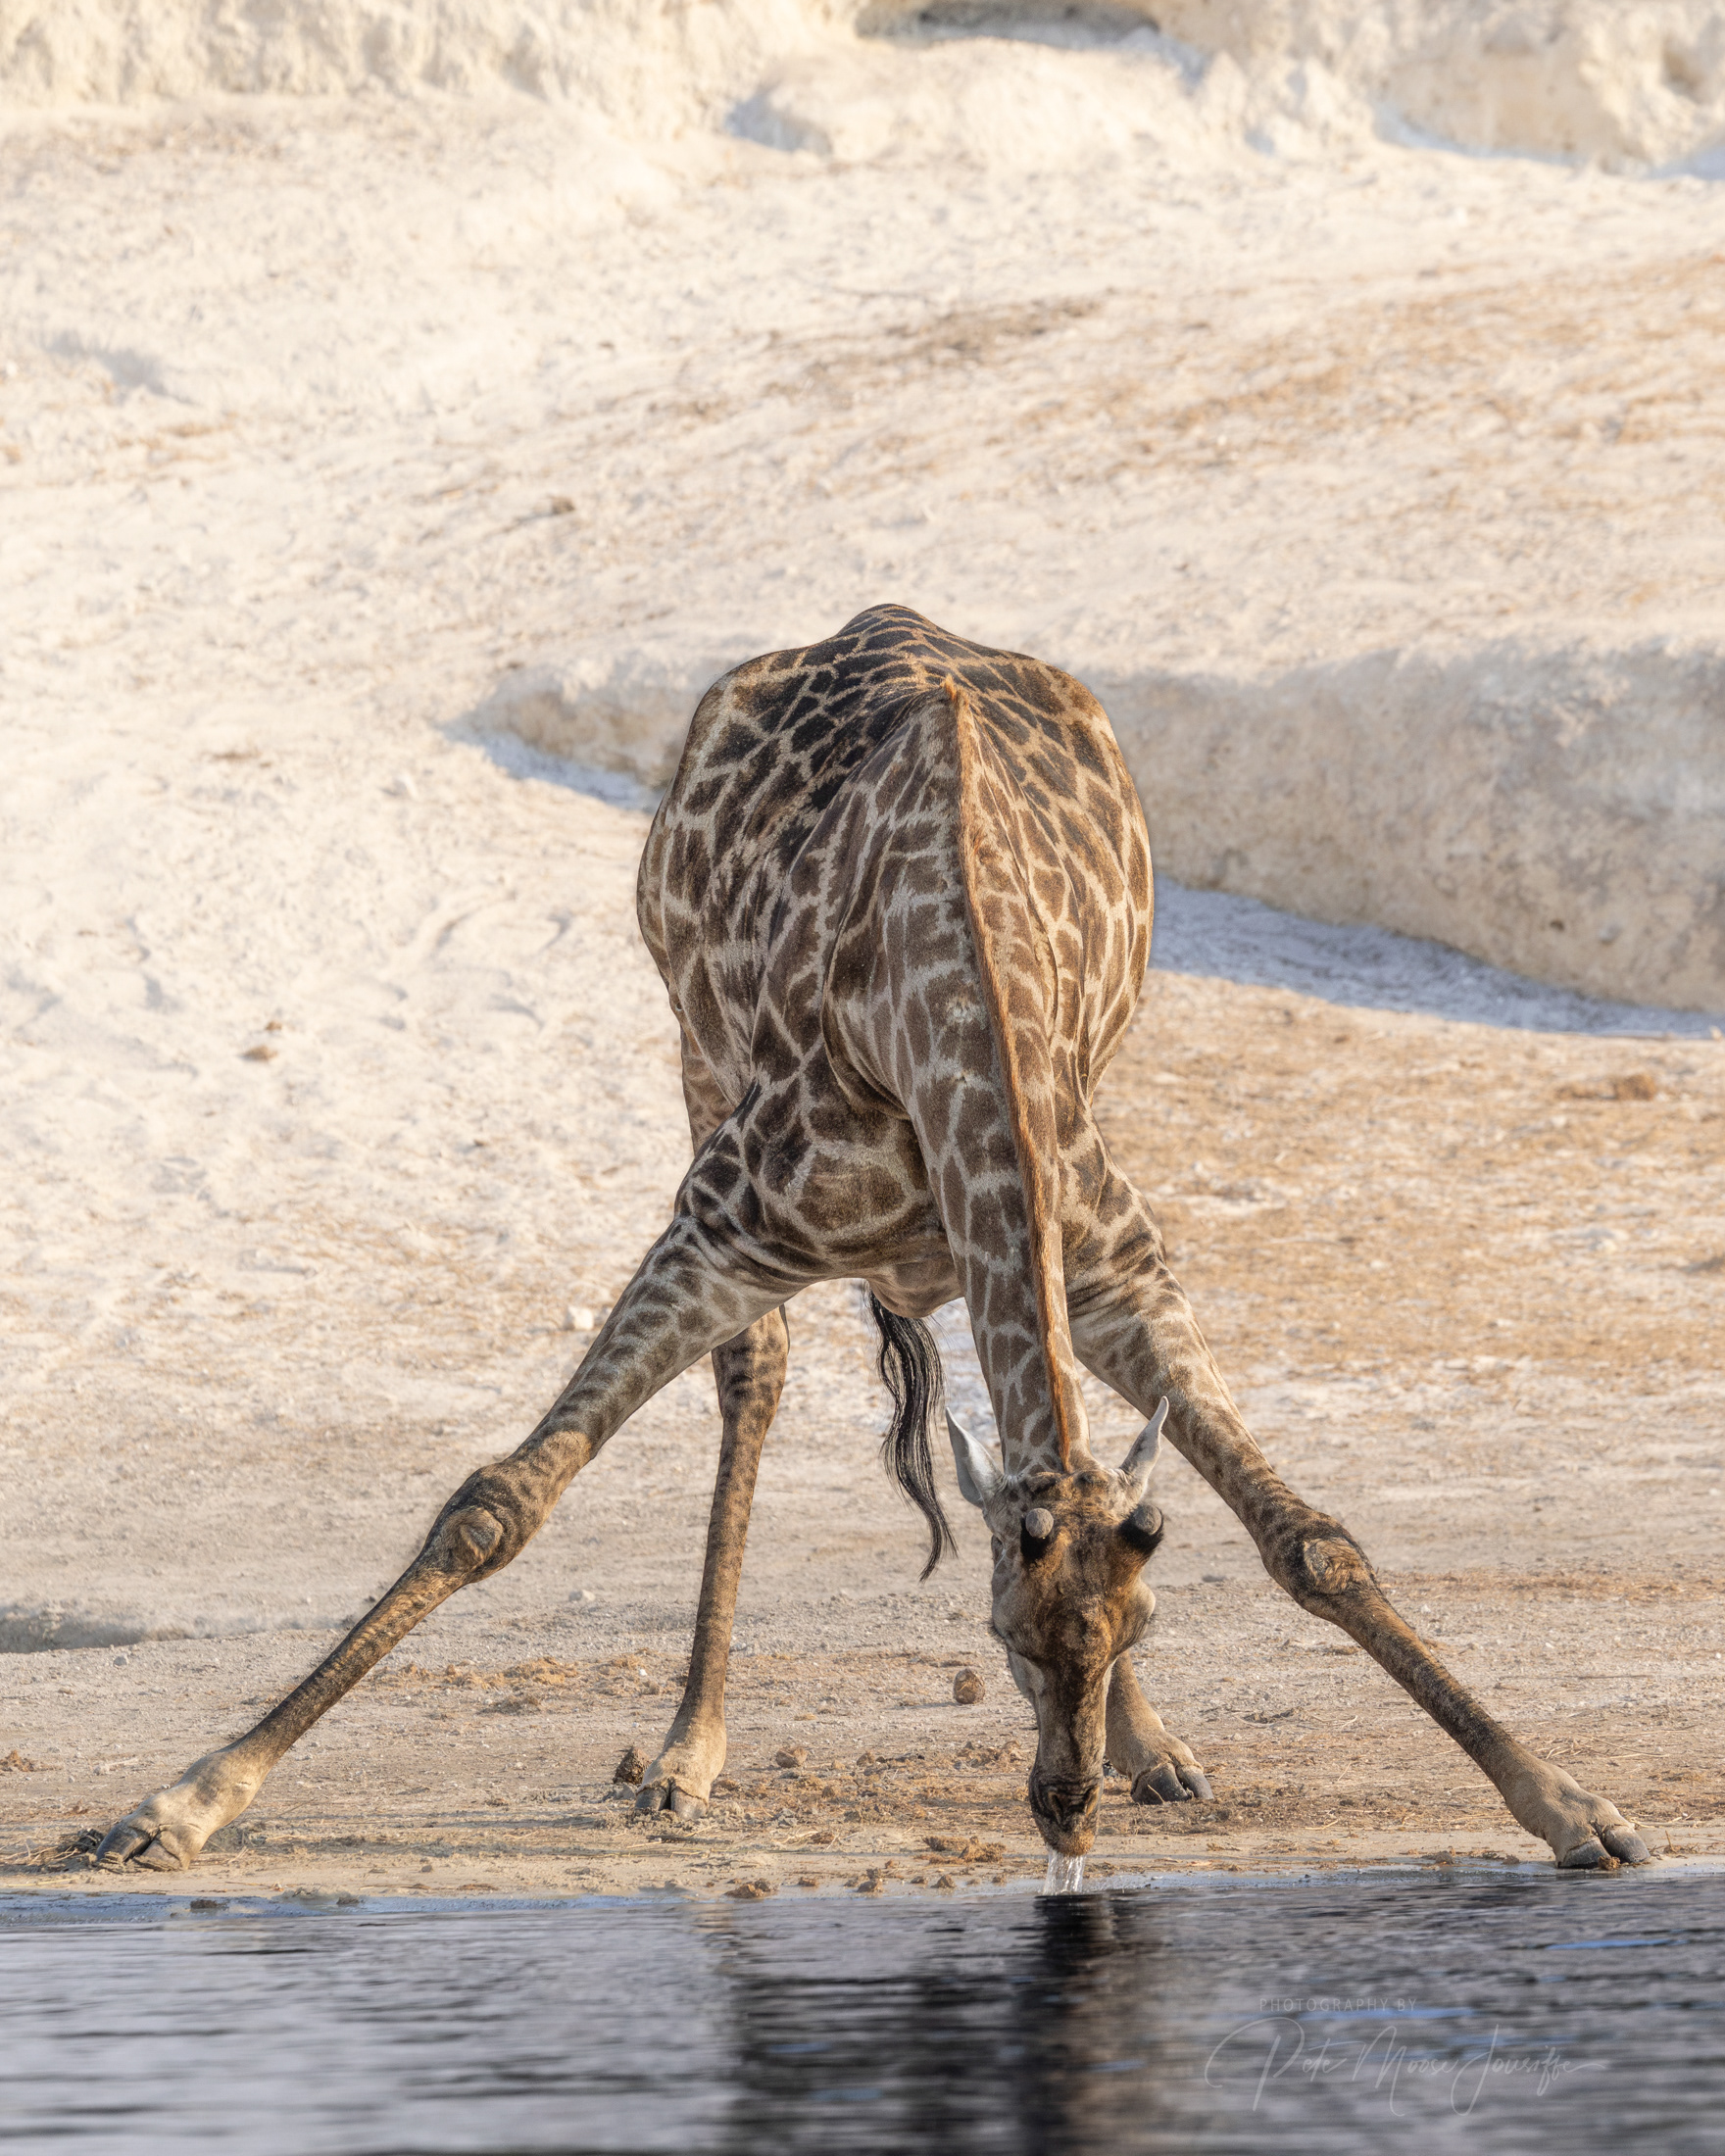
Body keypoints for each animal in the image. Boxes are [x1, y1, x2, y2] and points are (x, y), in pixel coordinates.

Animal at [97, 604, 1651, 1874]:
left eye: (1139, 1627)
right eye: (999, 1636)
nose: (1063, 1813)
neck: (955, 997)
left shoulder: (1115, 1268)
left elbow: (1308, 1543)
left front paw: (1573, 1807)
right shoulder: (720, 1225)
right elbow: (496, 1502)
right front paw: (178, 1802)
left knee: (1034, 1425)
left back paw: (1156, 1753)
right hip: (693, 1049)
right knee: (760, 1375)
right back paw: (686, 1754)